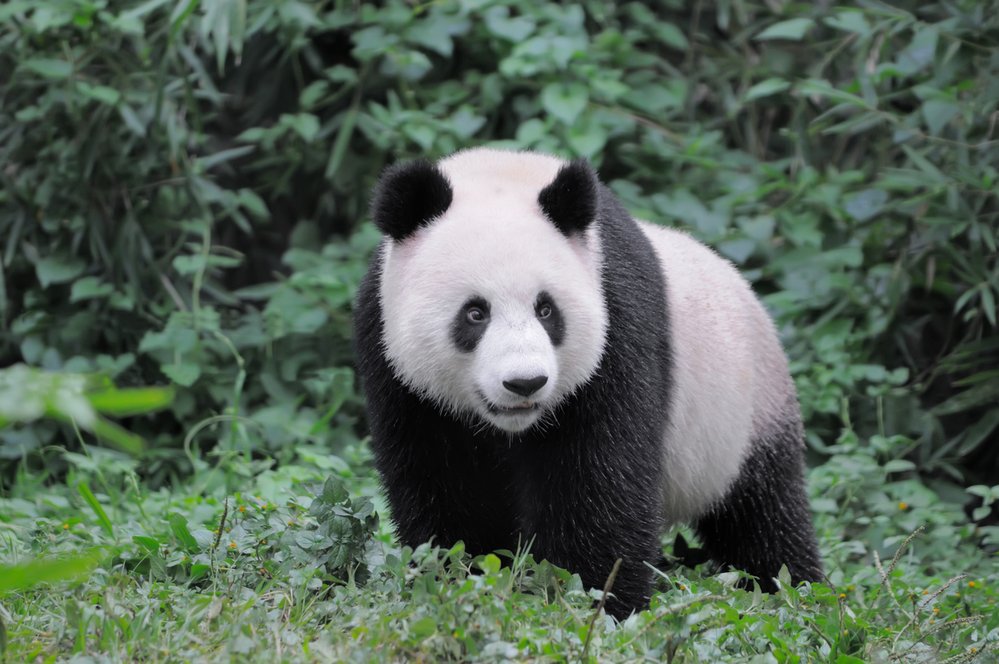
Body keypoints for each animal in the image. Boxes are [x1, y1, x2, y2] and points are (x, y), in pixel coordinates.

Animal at [356, 147, 824, 616]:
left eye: (546, 310)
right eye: (475, 313)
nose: (525, 383)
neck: (498, 175)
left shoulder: (617, 323)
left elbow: (601, 481)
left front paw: (596, 600)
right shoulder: (395, 363)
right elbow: (443, 484)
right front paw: (458, 581)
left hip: (745, 412)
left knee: (762, 514)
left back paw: (791, 587)